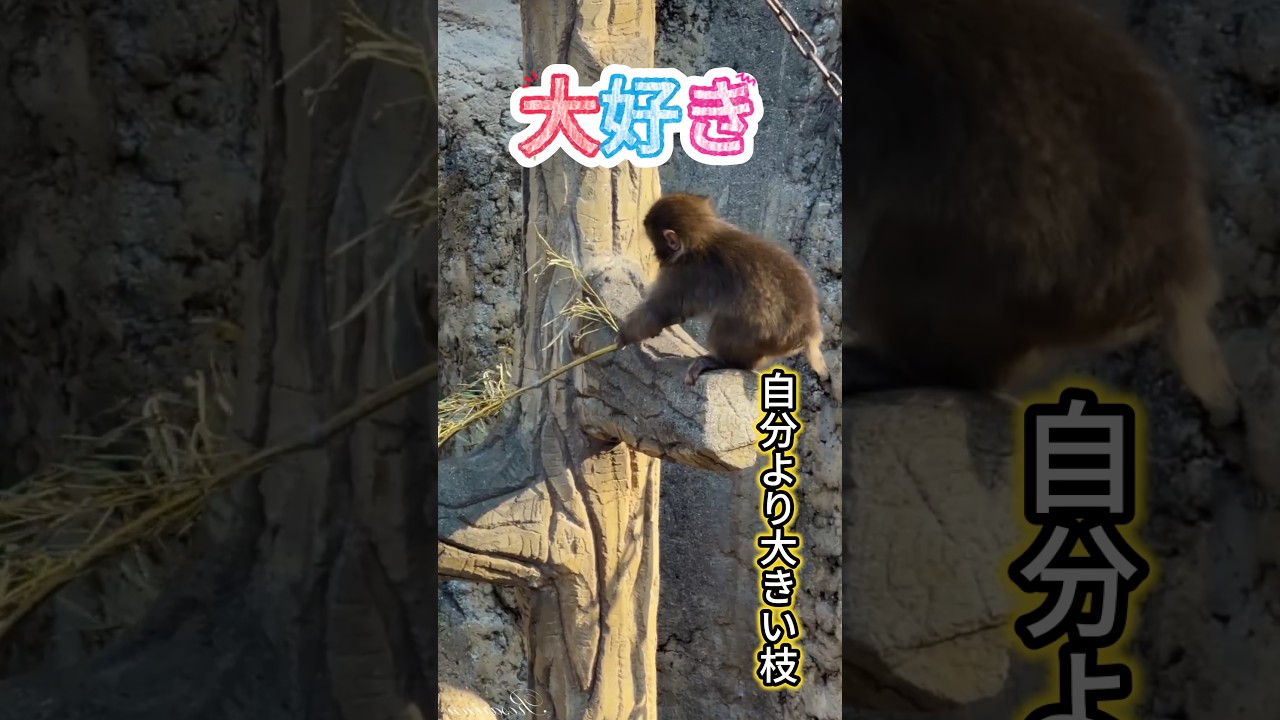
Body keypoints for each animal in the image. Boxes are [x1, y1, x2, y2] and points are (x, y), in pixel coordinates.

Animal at [614, 192, 831, 391]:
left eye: (656, 243)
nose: (656, 255)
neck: (704, 236)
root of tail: (809, 329)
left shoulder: (682, 273)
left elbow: (660, 310)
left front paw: (625, 335)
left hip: (763, 334)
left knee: (726, 324)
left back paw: (722, 362)